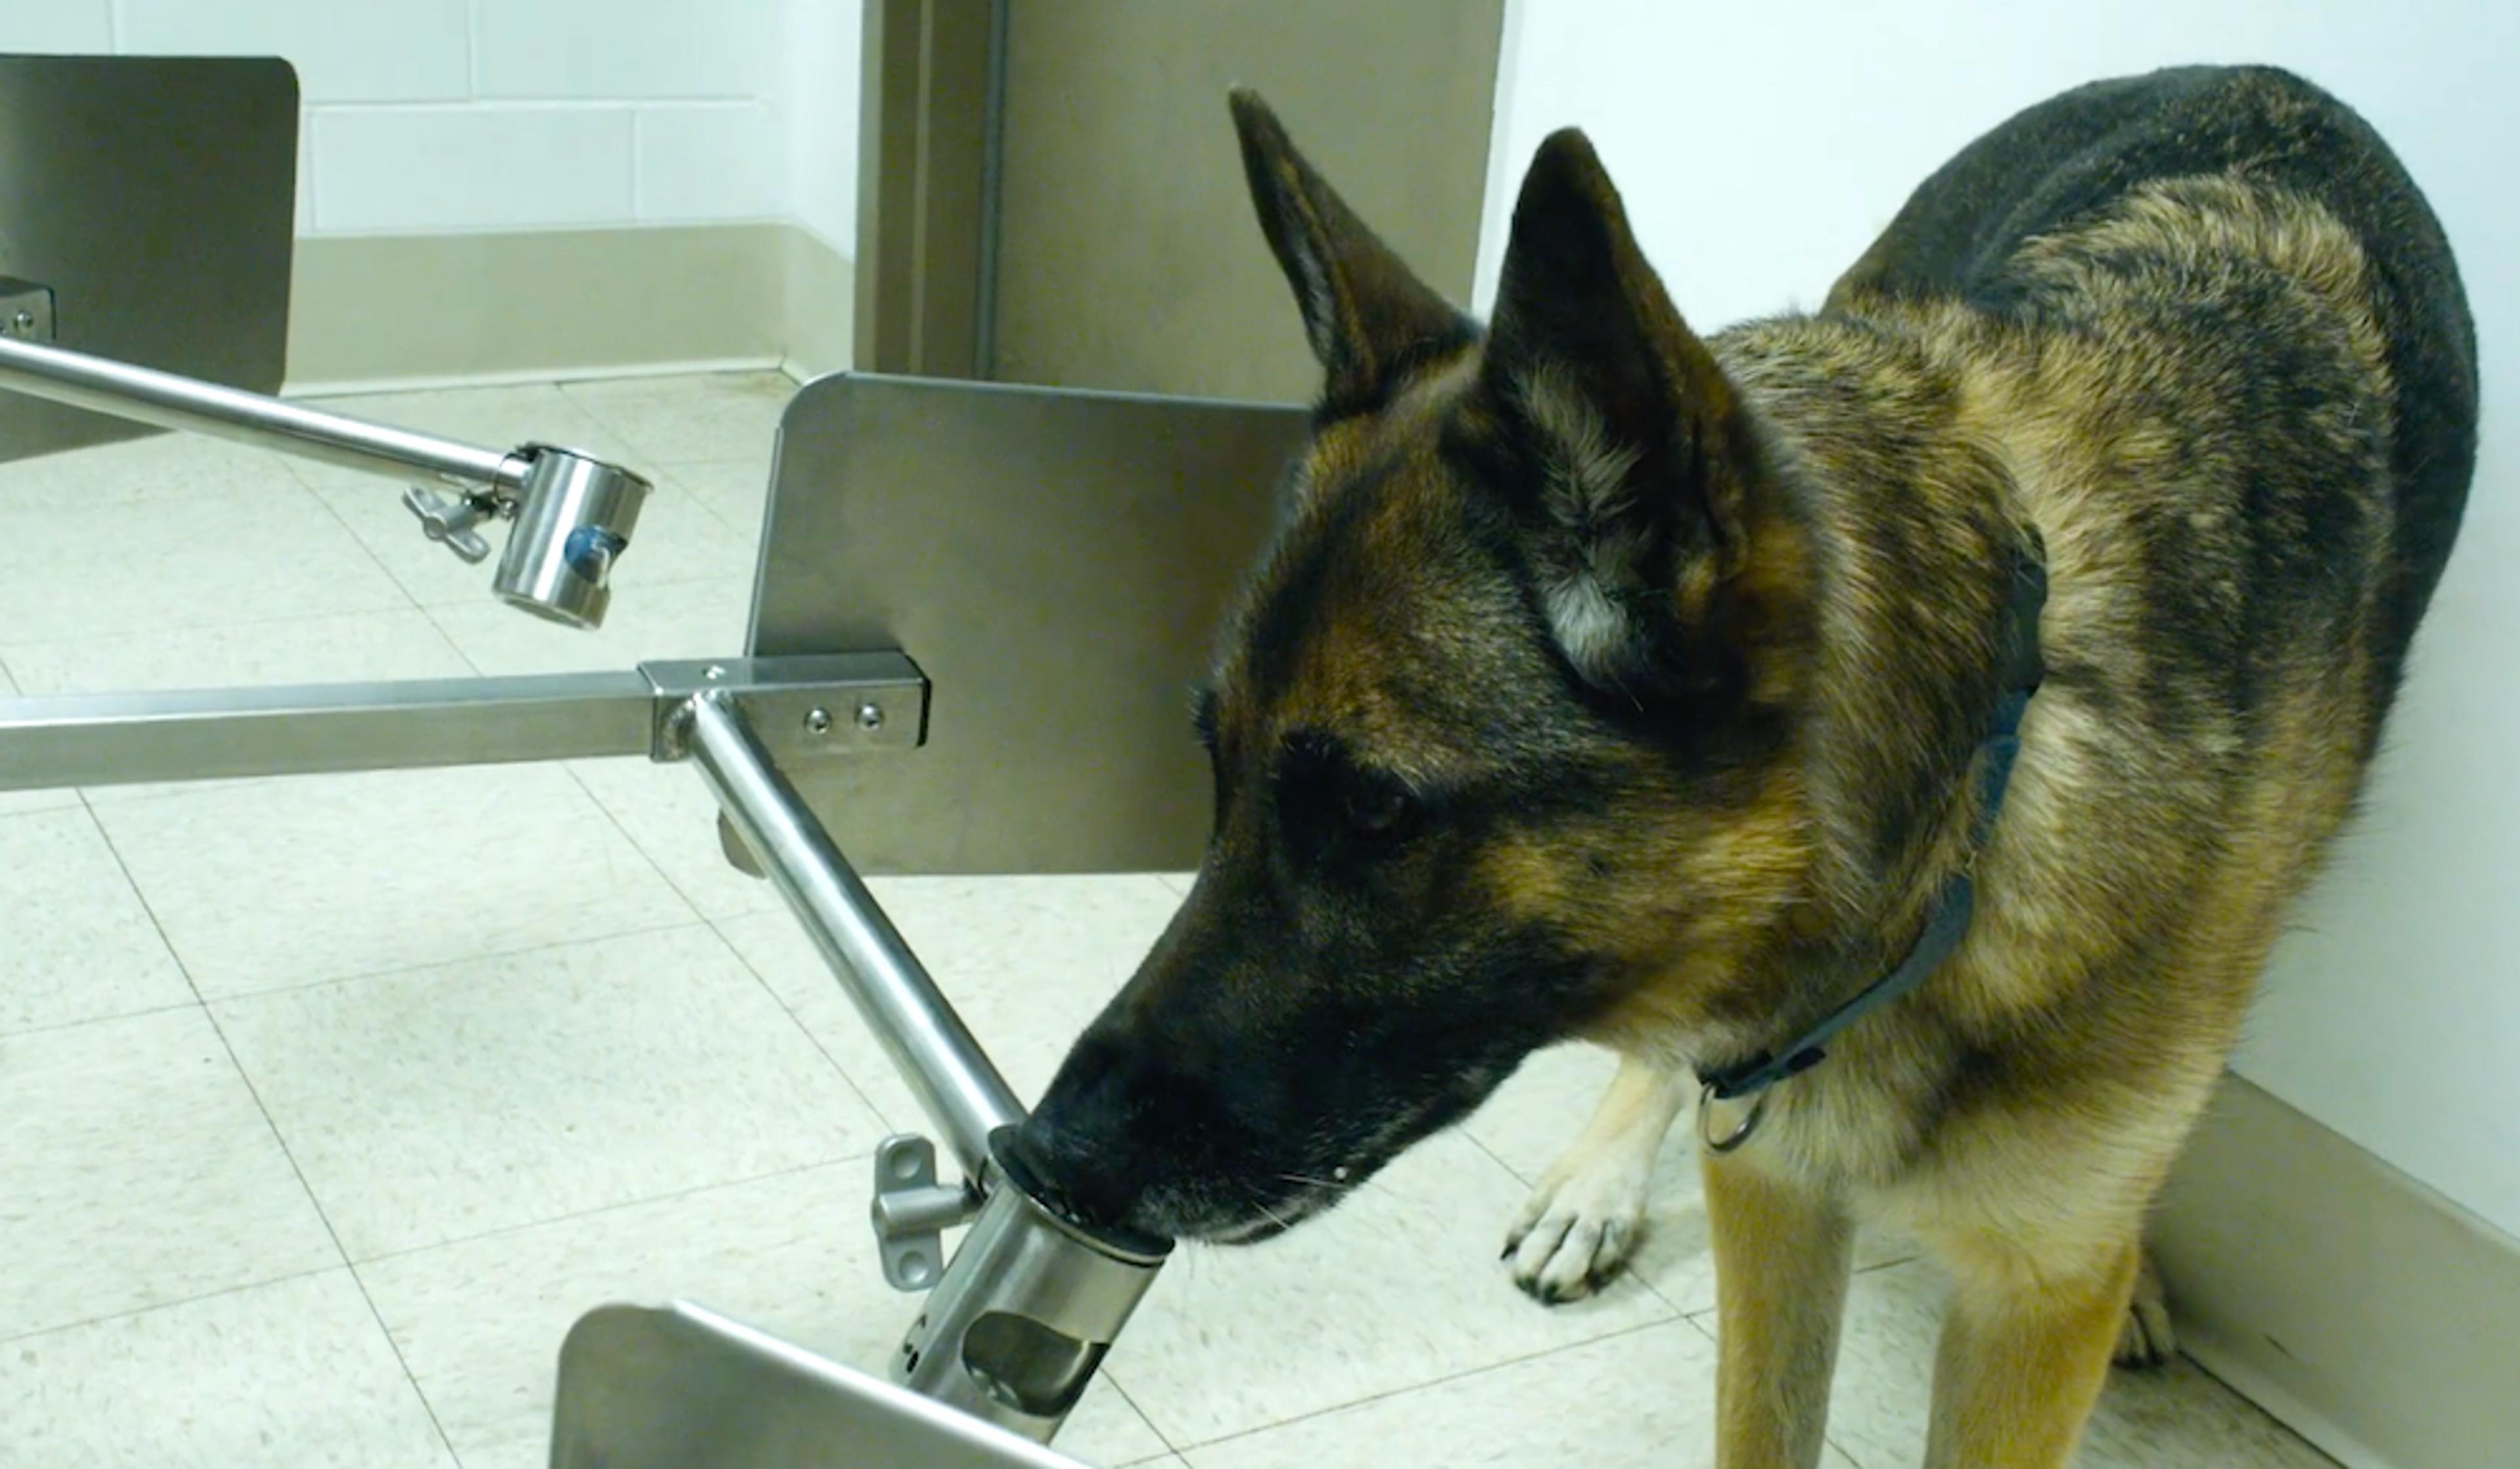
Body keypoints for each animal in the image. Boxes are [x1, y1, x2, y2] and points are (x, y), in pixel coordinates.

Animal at [1013, 63, 2469, 1461]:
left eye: (1372, 809)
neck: (1977, 808)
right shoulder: (1776, 1195)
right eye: (1219, 767)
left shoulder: (2023, 1312)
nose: (1035, 1153)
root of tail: (2263, 71)